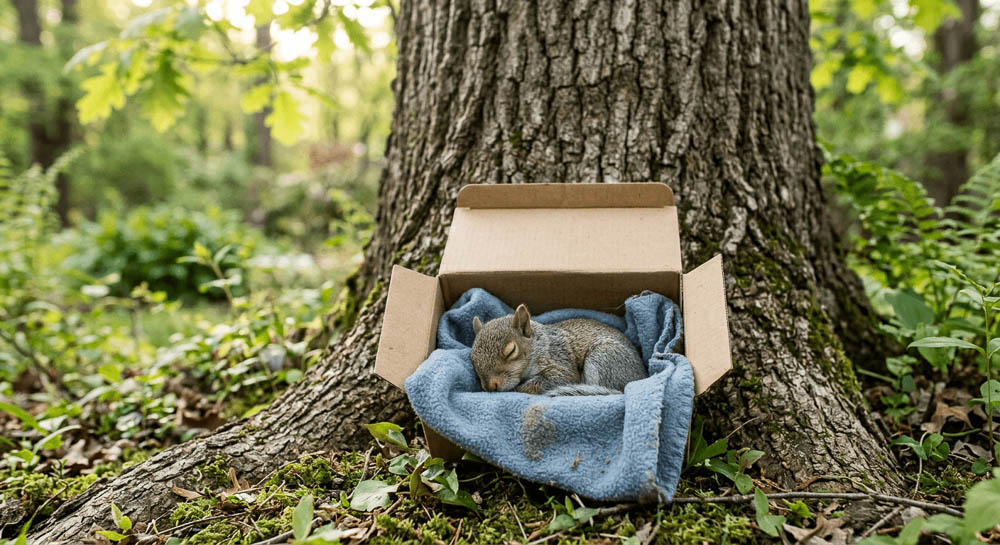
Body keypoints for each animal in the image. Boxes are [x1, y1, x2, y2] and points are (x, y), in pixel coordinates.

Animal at [470, 304, 647, 396]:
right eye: (472, 358)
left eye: (511, 351)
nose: (490, 387)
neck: (537, 345)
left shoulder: (559, 360)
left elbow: (553, 380)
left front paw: (518, 389)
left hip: (603, 359)